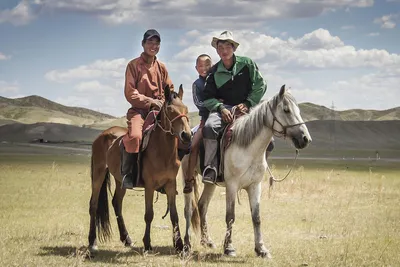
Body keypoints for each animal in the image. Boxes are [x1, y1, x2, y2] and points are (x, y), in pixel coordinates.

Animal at [89, 85, 192, 254]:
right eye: (170, 110)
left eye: (186, 109)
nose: (187, 135)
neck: (162, 151)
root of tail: (103, 135)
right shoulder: (149, 185)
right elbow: (149, 214)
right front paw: (147, 244)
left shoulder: (171, 184)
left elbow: (174, 215)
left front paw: (179, 245)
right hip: (98, 174)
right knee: (93, 205)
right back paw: (92, 242)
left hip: (120, 181)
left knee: (116, 203)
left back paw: (127, 239)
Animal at [181, 85, 312, 258]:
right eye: (286, 110)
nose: (305, 139)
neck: (248, 149)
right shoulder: (232, 186)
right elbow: (230, 216)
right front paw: (229, 247)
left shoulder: (255, 186)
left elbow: (256, 217)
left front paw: (261, 249)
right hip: (187, 177)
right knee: (188, 209)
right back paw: (186, 244)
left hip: (211, 183)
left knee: (202, 205)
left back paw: (207, 241)